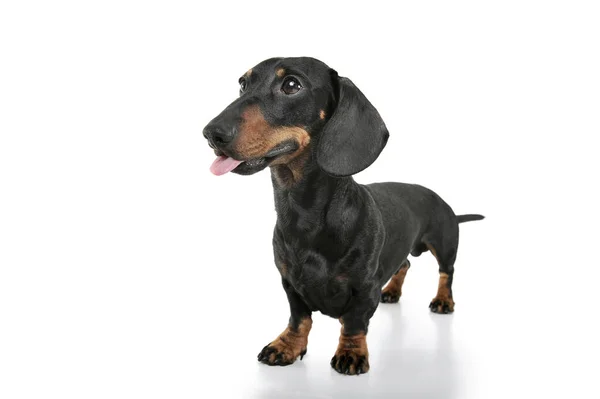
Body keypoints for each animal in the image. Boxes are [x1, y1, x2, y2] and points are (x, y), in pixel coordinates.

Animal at [204, 57, 486, 376]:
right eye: (242, 83)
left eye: (291, 84)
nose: (211, 133)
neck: (303, 215)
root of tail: (444, 202)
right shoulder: (290, 283)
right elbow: (299, 318)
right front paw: (286, 346)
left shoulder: (365, 288)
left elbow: (354, 323)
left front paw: (351, 353)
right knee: (405, 264)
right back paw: (393, 291)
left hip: (445, 242)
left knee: (446, 273)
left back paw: (442, 301)